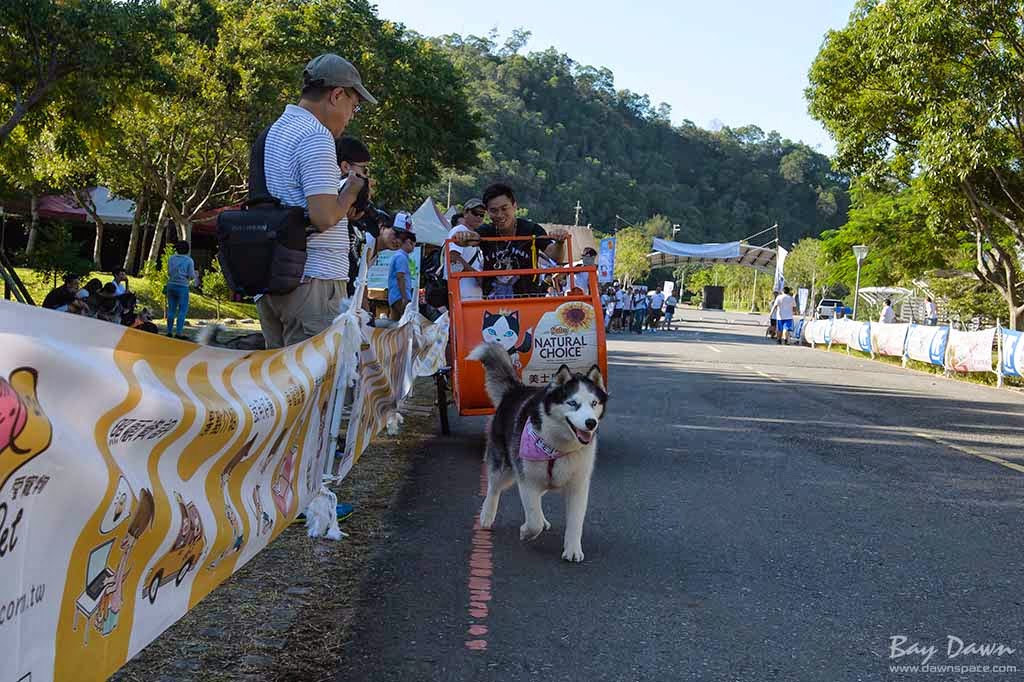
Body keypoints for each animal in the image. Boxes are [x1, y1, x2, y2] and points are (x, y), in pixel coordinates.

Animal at [468, 342, 606, 561]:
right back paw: (487, 515)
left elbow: (575, 521)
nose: (591, 423)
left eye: (594, 403)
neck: (557, 447)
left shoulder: (578, 485)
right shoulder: (527, 480)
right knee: (494, 487)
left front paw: (573, 549)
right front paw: (526, 531)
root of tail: (516, 389)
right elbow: (534, 521)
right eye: (572, 403)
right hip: (505, 467)